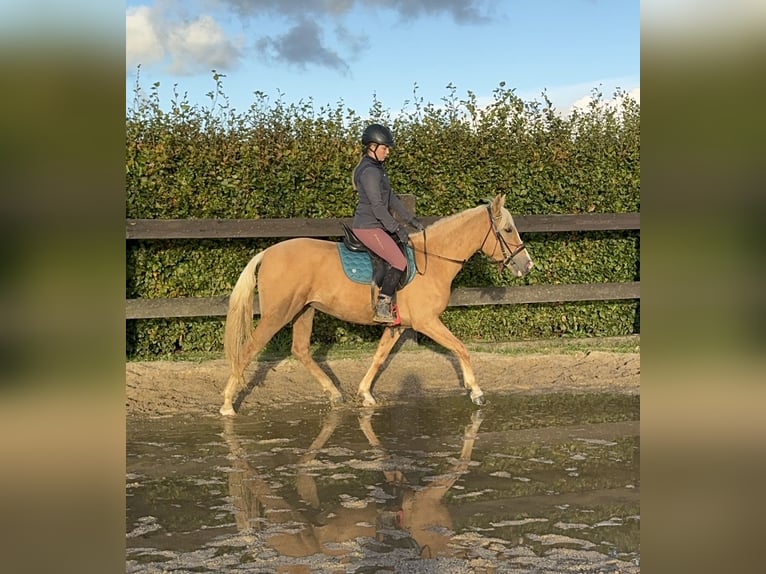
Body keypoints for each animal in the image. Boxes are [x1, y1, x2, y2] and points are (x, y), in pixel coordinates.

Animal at [220, 195, 536, 418]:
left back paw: (334, 394)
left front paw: (365, 395)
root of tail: (267, 253)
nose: (527, 265)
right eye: (508, 229)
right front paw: (476, 391)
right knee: (247, 351)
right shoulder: (426, 322)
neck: (433, 260)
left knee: (300, 350)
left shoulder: (399, 325)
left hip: (304, 310)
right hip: (278, 314)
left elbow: (380, 357)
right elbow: (460, 348)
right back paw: (227, 404)